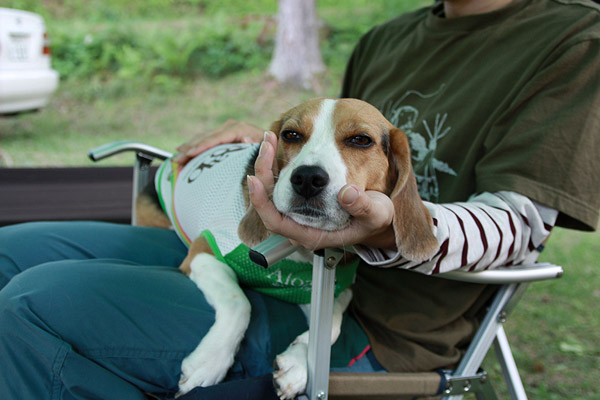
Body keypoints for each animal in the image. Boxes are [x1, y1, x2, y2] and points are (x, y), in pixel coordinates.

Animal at [142, 97, 438, 400]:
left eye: (360, 140)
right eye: (291, 135)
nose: (307, 178)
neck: (301, 254)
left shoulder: (337, 287)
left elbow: (331, 322)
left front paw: (298, 363)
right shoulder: (204, 251)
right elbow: (240, 303)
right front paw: (208, 363)